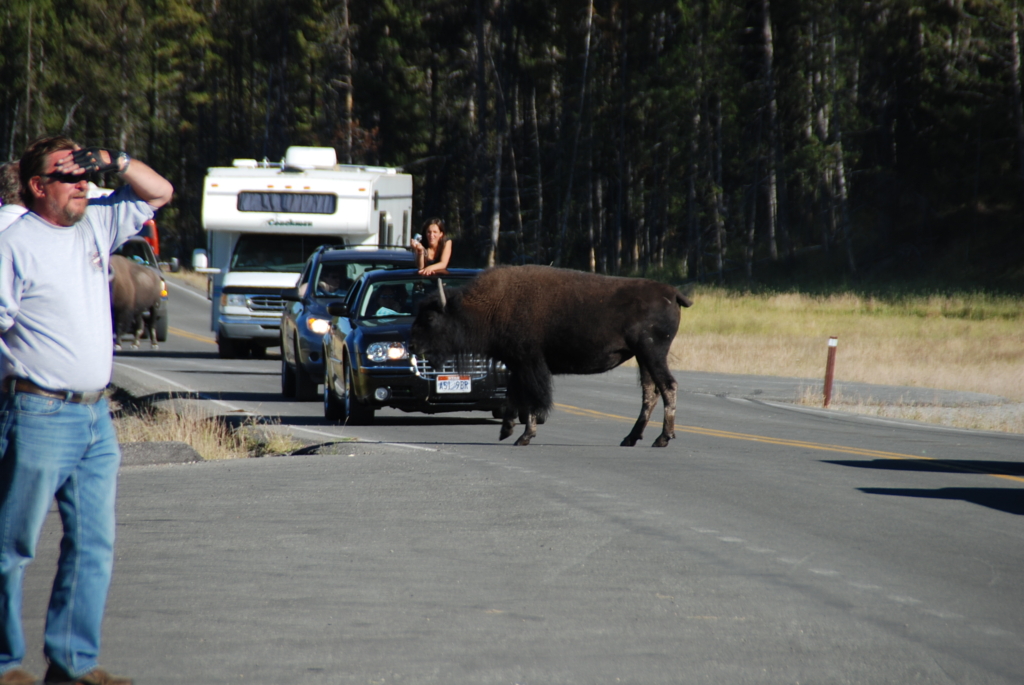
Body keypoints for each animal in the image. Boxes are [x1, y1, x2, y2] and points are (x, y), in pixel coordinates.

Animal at [409, 264, 696, 446]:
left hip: (651, 353)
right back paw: (630, 438)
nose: (412, 346)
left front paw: (524, 436)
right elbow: (515, 395)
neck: (491, 305)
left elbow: (535, 399)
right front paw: (506, 430)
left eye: (430, 318)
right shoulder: (517, 365)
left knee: (668, 386)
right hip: (643, 358)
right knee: (651, 392)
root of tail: (672, 293)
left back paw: (662, 439)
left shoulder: (530, 364)